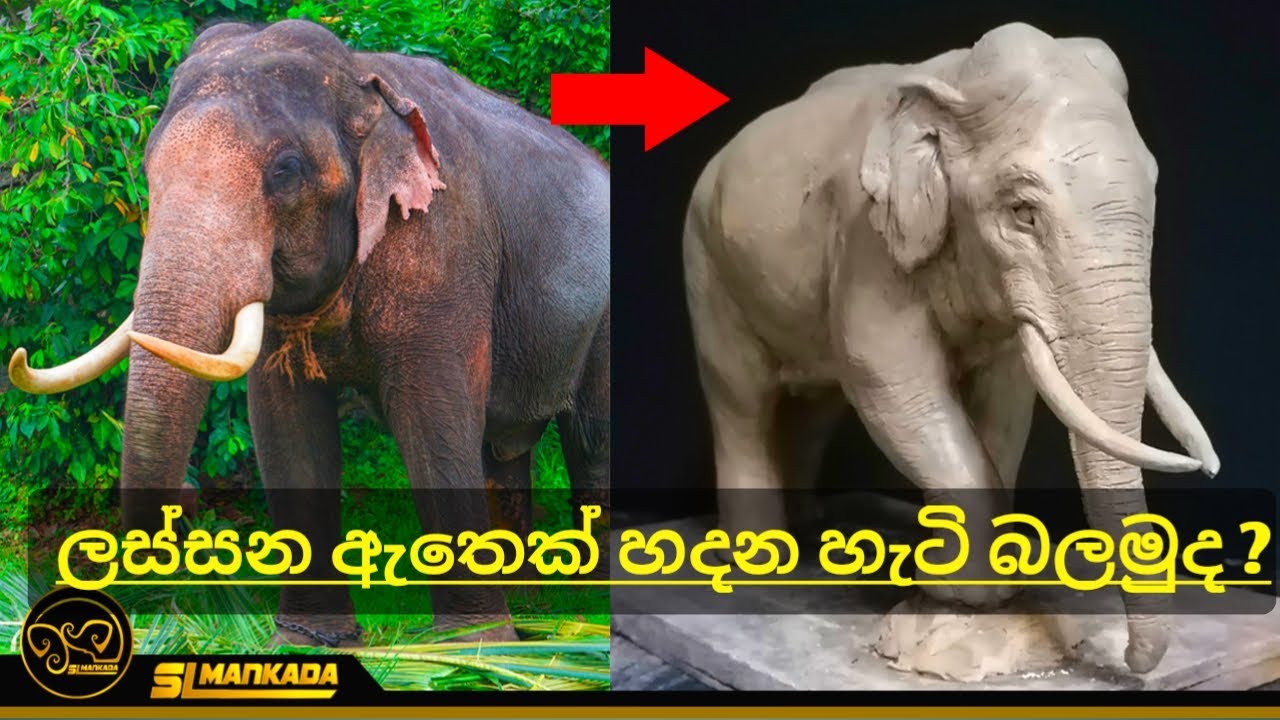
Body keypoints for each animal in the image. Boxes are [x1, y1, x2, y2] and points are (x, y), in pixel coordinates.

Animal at [8, 20, 610, 645]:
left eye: (286, 171)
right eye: (148, 168)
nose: (190, 501)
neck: (363, 80)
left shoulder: (443, 246)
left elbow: (435, 416)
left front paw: (472, 649)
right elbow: (285, 424)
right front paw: (306, 641)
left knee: (593, 440)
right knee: (504, 451)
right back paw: (535, 615)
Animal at [683, 22, 1217, 674]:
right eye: (1022, 212)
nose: (1124, 659)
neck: (953, 82)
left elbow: (1007, 397)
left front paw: (988, 588)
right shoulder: (868, 239)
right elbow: (892, 379)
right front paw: (967, 595)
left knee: (814, 407)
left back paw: (808, 532)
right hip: (707, 266)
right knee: (742, 399)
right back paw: (755, 560)